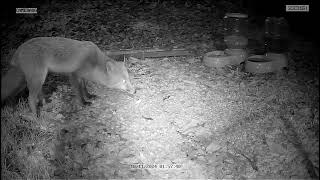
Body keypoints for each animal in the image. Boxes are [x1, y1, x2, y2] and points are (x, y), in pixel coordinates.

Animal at [0, 37, 135, 117]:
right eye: (123, 81)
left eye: (129, 79)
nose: (134, 90)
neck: (93, 62)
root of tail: (18, 51)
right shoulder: (73, 75)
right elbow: (79, 93)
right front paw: (83, 103)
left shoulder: (82, 76)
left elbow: (84, 89)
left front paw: (89, 96)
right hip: (37, 78)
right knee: (30, 98)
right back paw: (36, 117)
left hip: (40, 78)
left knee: (38, 94)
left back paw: (44, 103)